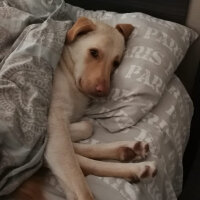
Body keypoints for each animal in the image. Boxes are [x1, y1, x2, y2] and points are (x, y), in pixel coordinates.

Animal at [12, 17, 157, 200]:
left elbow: (86, 127)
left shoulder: (53, 131)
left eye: (116, 63)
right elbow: (79, 181)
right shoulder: (55, 123)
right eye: (94, 52)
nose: (104, 92)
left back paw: (129, 153)